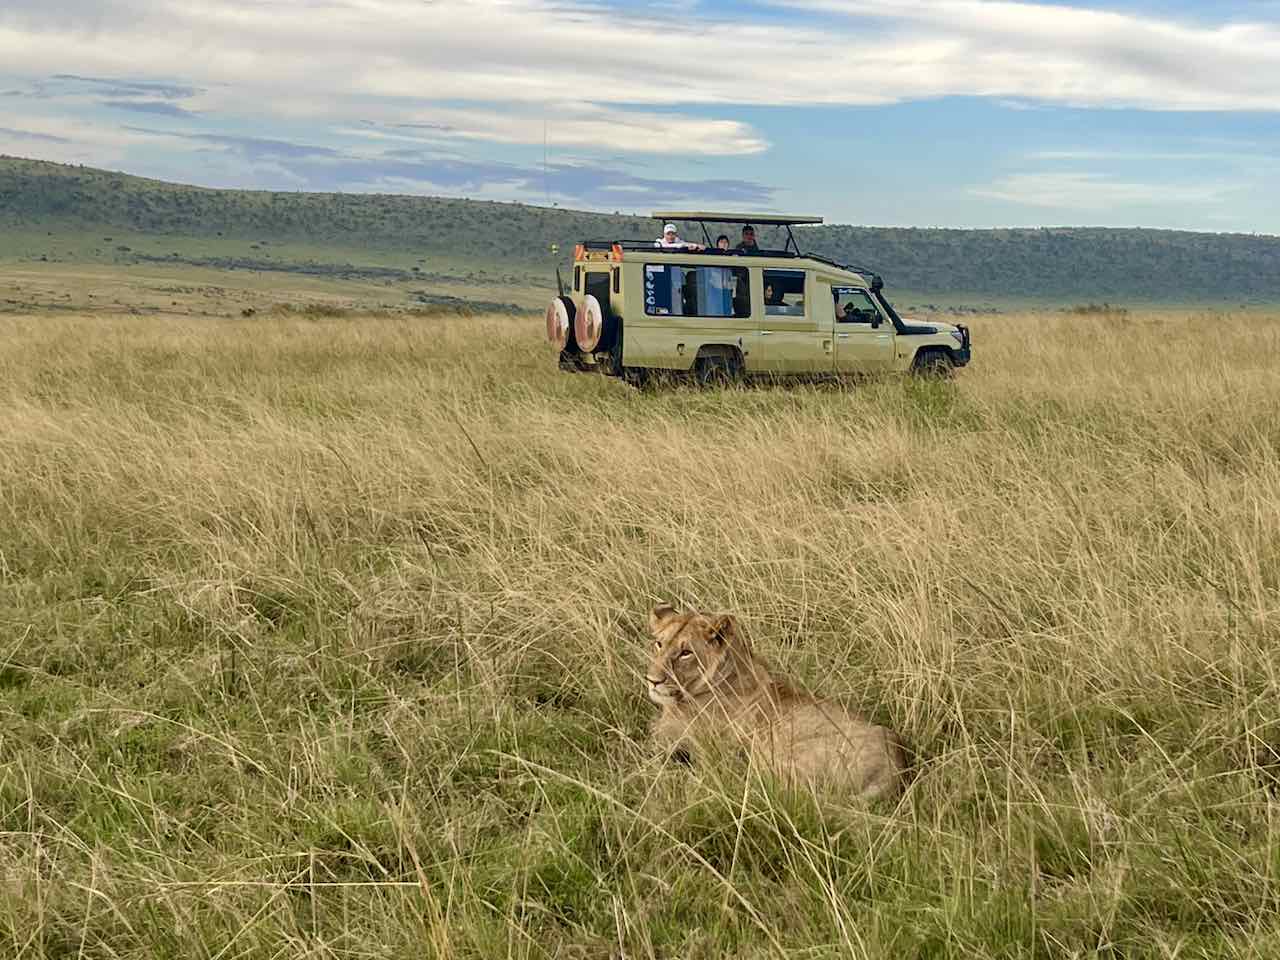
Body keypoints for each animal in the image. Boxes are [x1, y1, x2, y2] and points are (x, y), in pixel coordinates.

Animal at [644, 604, 909, 801]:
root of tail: (897, 767)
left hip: (774, 762)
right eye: (659, 644)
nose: (652, 681)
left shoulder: (683, 745)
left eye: (686, 653)